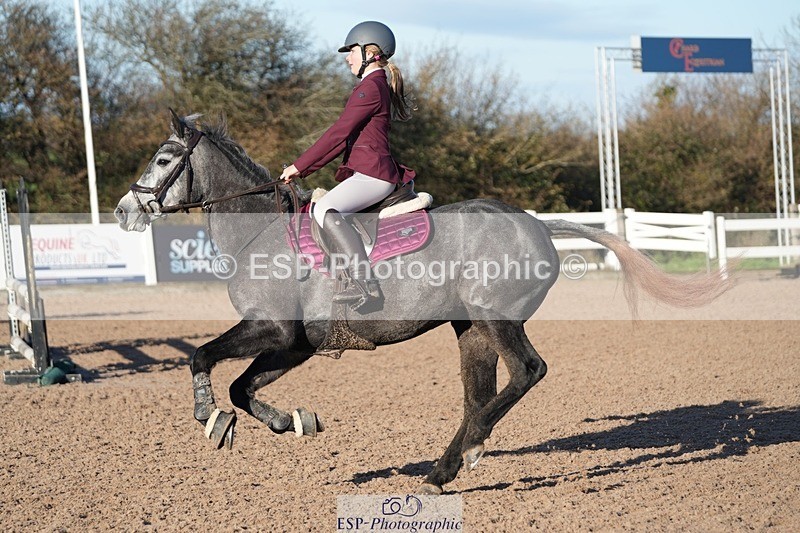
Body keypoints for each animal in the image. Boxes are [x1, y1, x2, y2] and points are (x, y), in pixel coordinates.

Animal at [114, 111, 730, 495]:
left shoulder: (272, 330)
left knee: (527, 372)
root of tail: (535, 223)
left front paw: (207, 416)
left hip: (495, 318)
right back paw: (450, 464)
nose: (124, 210)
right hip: (470, 329)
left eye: (165, 159)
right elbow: (243, 388)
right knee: (480, 393)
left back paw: (464, 453)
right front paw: (292, 421)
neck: (260, 234)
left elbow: (201, 357)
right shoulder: (294, 345)